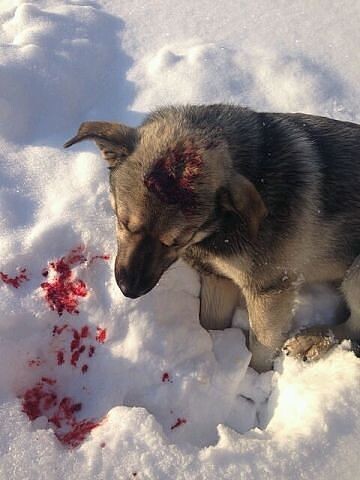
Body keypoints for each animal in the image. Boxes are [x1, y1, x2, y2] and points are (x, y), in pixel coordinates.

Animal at [64, 105, 360, 372]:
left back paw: (312, 340)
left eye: (176, 241)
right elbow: (211, 323)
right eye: (124, 222)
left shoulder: (270, 290)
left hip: (355, 275)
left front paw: (253, 381)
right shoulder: (218, 279)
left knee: (353, 329)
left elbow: (261, 346)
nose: (129, 290)